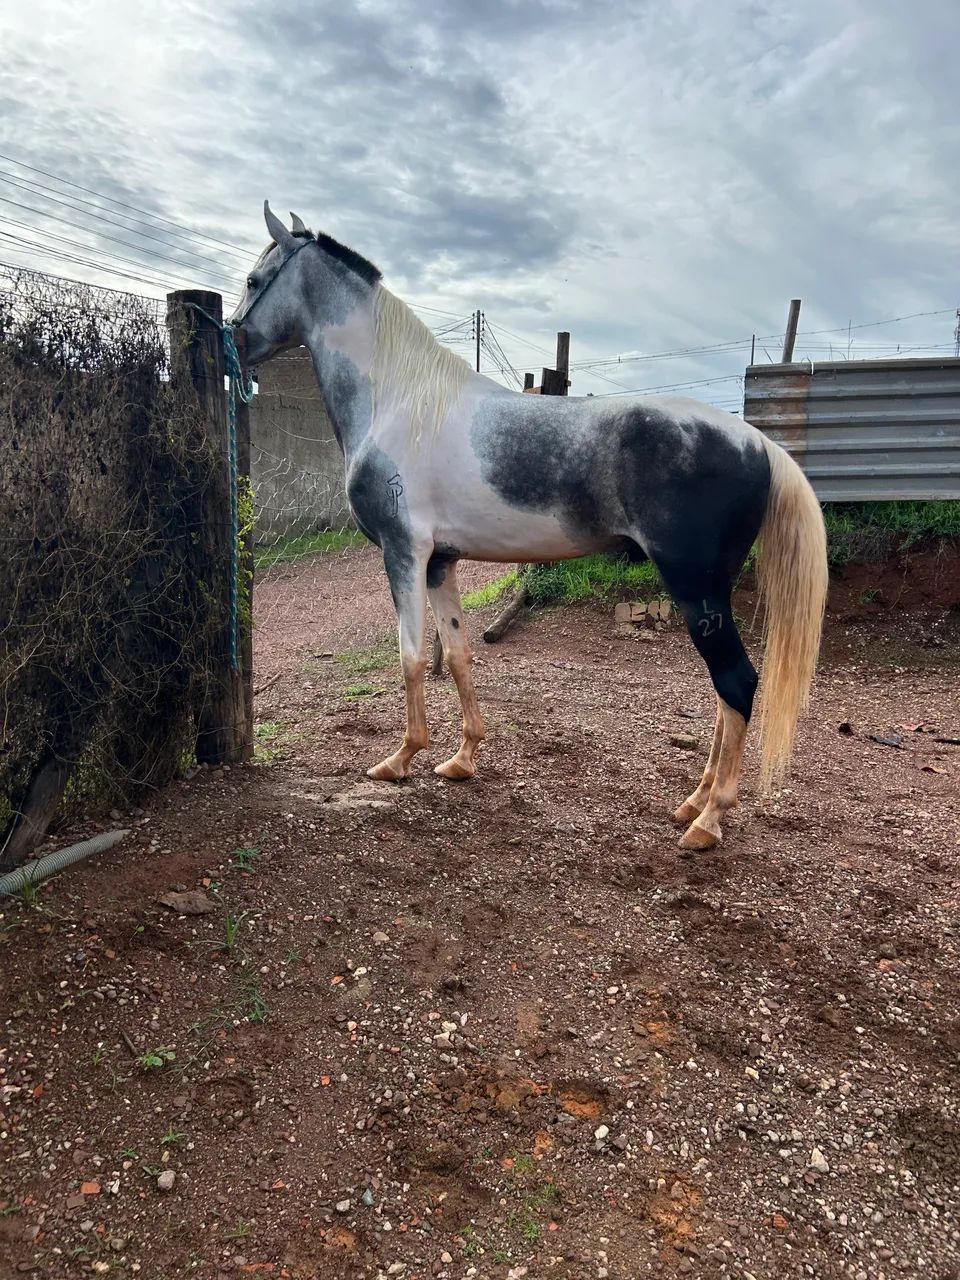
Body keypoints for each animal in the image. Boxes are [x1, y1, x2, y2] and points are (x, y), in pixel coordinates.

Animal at [231, 203, 828, 850]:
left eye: (254, 281)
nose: (233, 339)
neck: (399, 402)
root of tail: (758, 443)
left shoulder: (402, 552)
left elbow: (411, 656)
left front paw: (399, 760)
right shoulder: (439, 562)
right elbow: (457, 653)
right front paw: (461, 759)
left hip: (696, 586)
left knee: (736, 683)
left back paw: (708, 821)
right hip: (711, 592)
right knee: (724, 693)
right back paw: (691, 803)